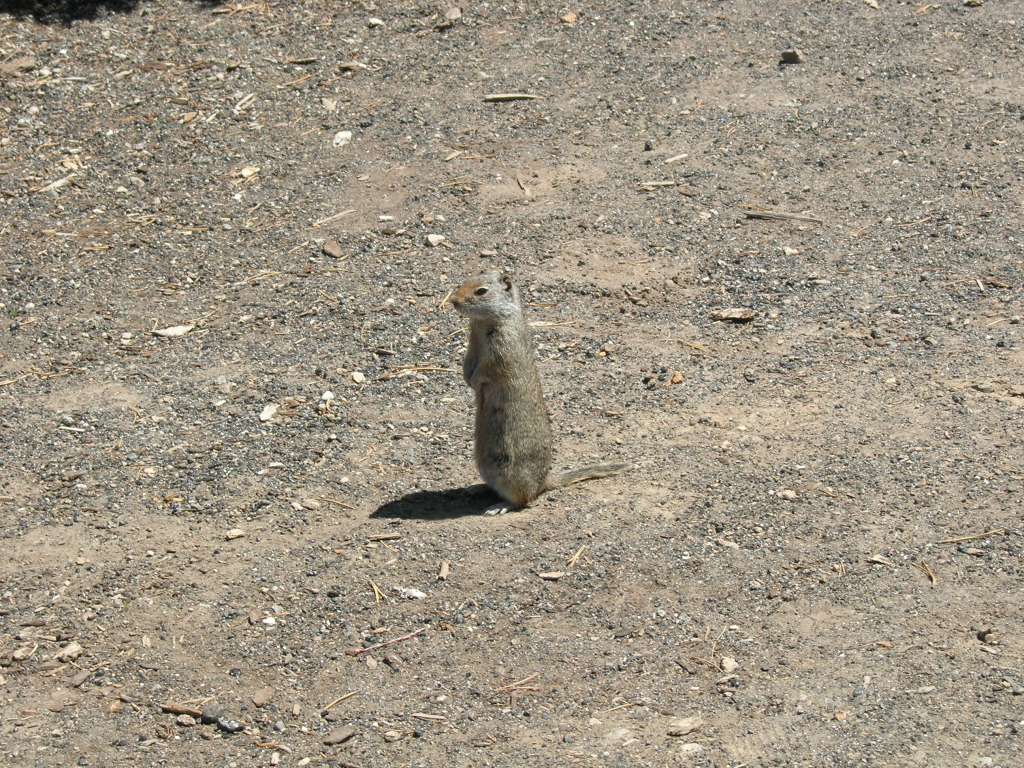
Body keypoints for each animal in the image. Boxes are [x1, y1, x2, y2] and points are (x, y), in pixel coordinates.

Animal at [452, 272, 626, 518]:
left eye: (481, 291)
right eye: (465, 281)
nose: (453, 301)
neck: (482, 323)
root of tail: (543, 483)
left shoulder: (500, 351)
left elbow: (486, 370)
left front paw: (474, 382)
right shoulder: (472, 345)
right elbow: (467, 364)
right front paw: (467, 379)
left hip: (511, 473)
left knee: (522, 499)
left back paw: (499, 506)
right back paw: (475, 488)